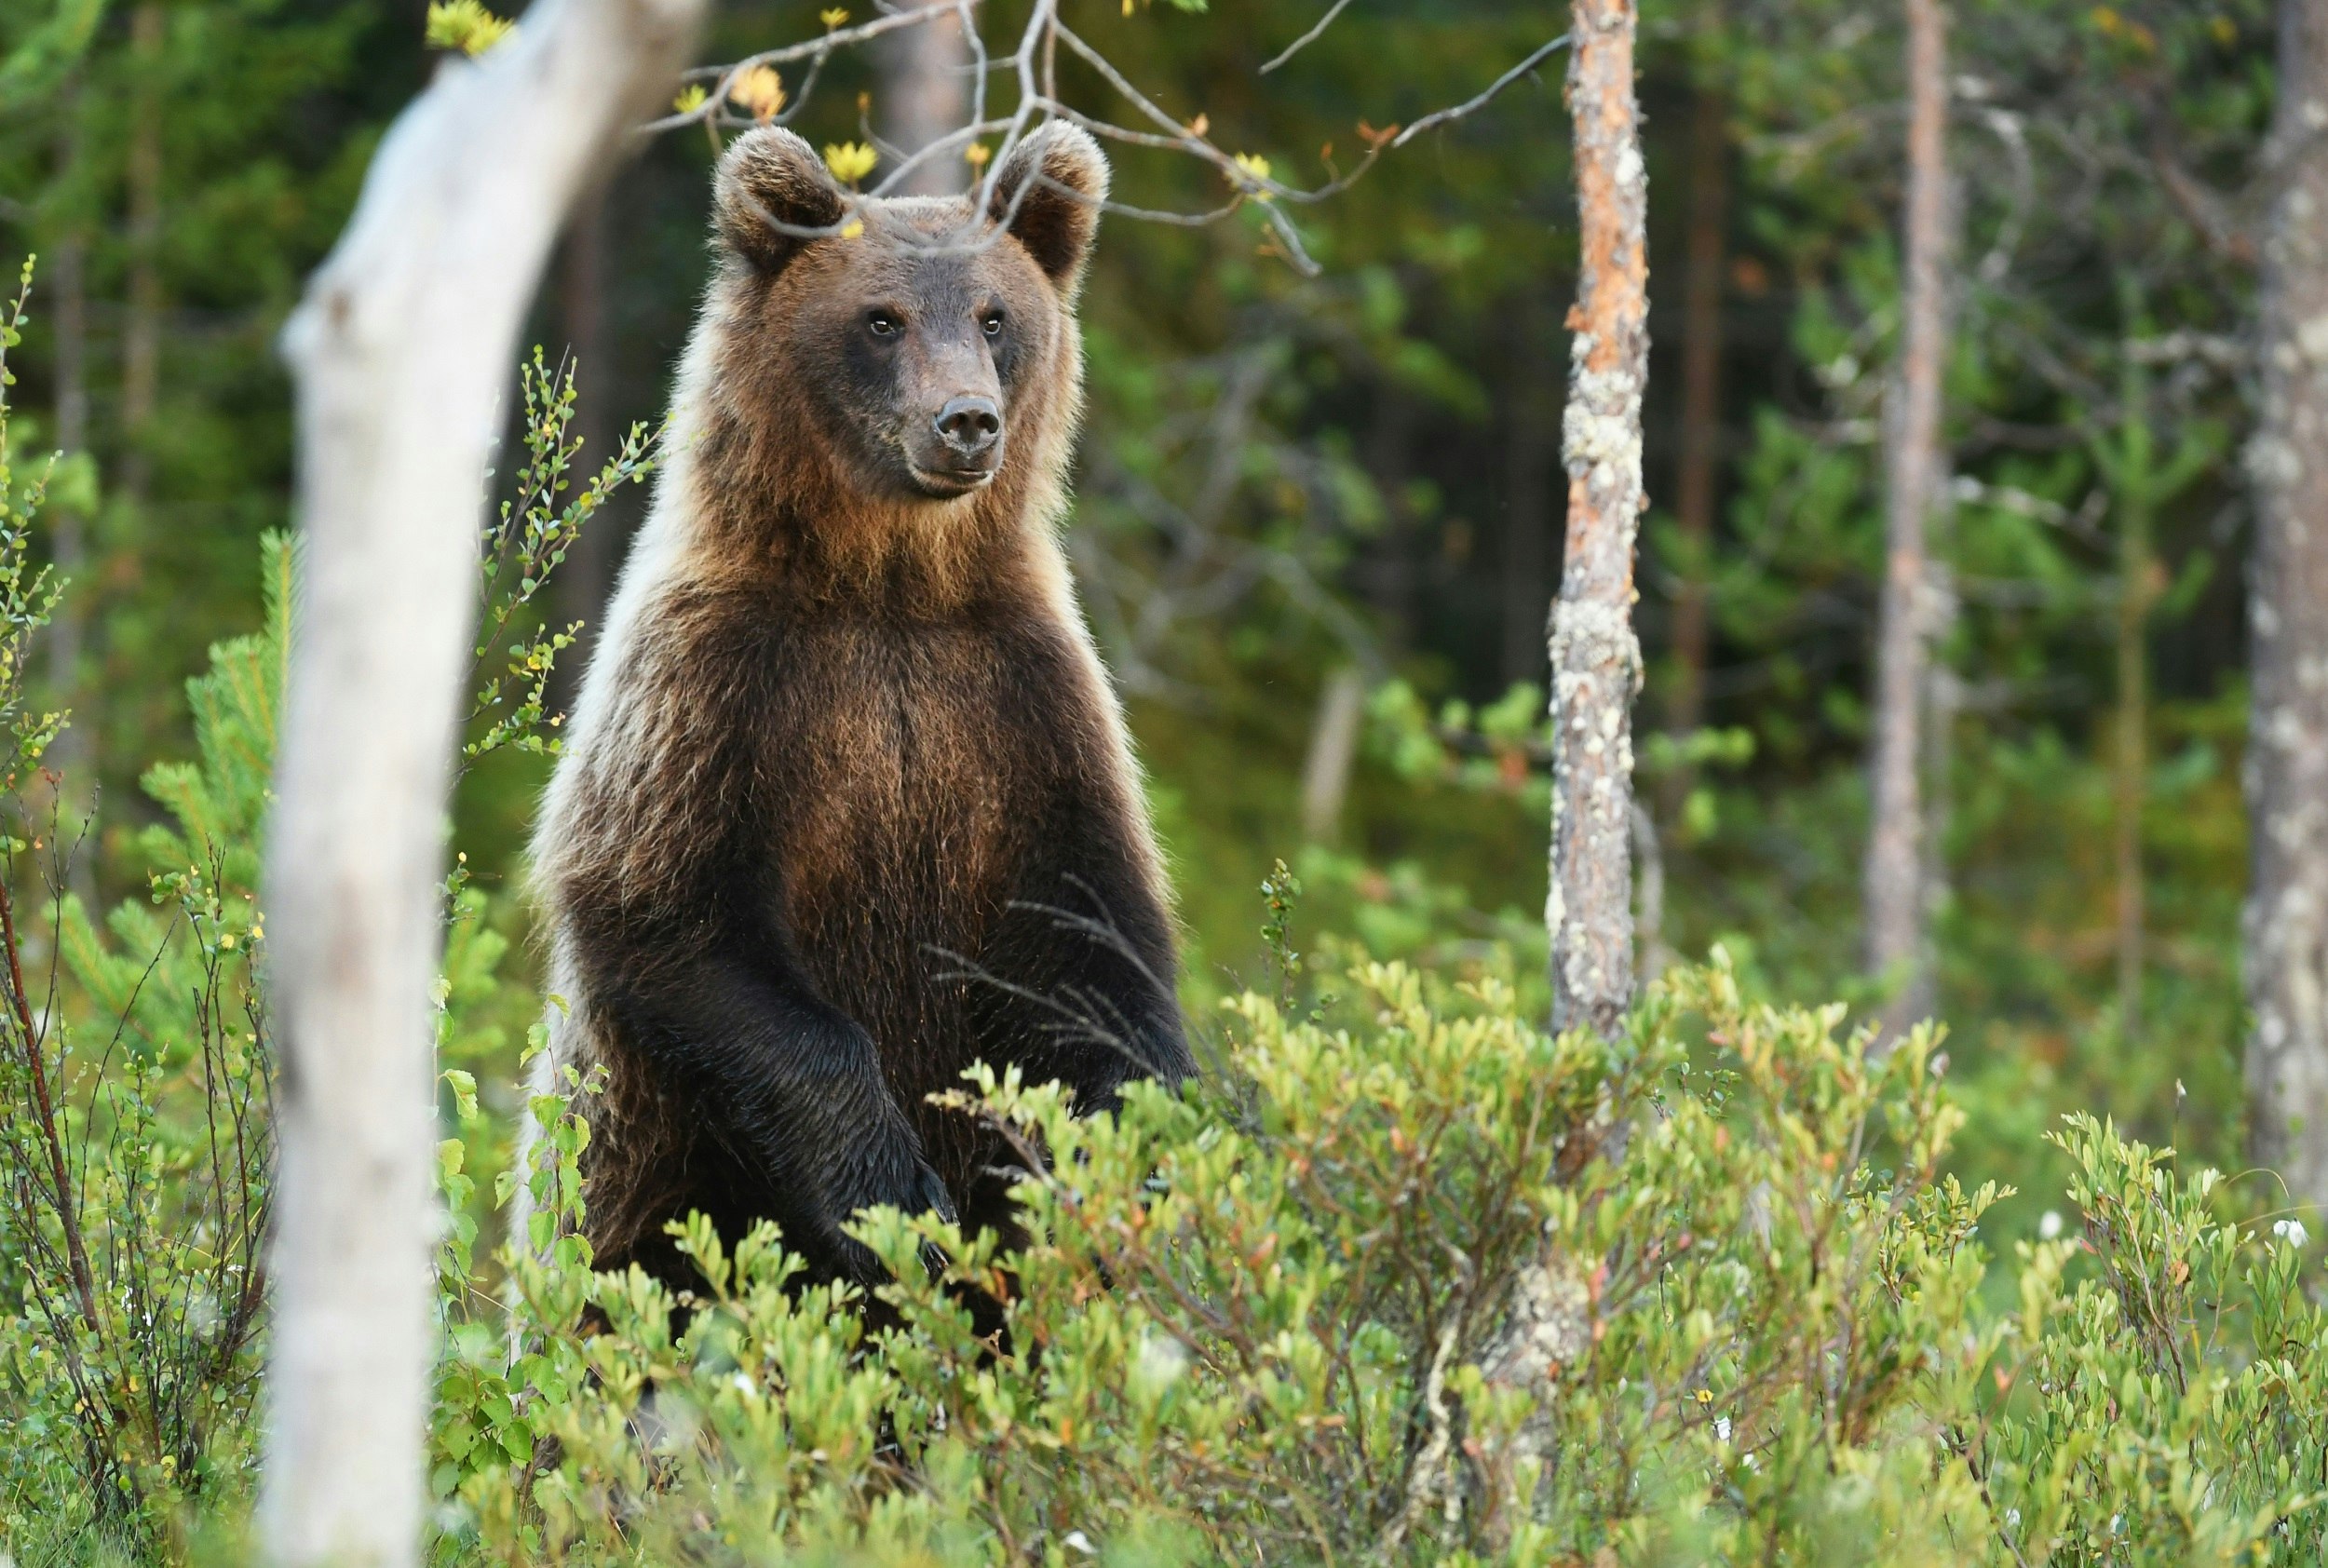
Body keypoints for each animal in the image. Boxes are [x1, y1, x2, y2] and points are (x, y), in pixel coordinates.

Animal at [521, 125, 1192, 1293]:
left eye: (995, 316)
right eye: (881, 318)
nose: (966, 422)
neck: (890, 588)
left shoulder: (1024, 700)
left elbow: (1091, 941)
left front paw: (1137, 1165)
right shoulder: (717, 685)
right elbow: (676, 912)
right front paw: (898, 1201)